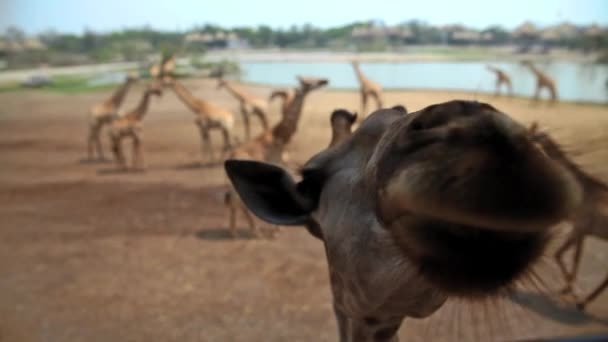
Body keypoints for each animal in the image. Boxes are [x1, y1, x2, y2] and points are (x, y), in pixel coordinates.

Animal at [224, 76, 328, 238]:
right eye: (307, 82)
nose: (325, 81)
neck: (280, 137)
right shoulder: (276, 164)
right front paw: (275, 231)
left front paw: (277, 230)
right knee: (238, 203)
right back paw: (244, 233)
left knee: (238, 204)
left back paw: (245, 231)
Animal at [528, 123, 608, 310]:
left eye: (531, 137)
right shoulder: (578, 230)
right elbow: (560, 255)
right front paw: (567, 289)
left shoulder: (581, 229)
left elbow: (573, 259)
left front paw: (574, 293)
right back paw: (584, 301)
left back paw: (584, 302)